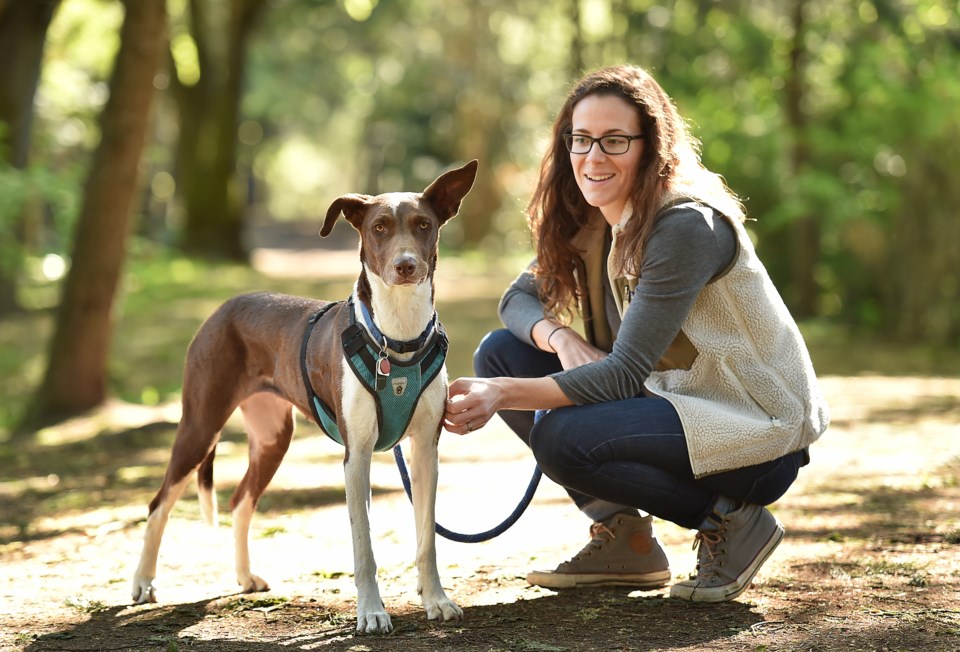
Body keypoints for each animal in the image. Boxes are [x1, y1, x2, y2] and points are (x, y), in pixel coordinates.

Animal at [133, 158, 478, 632]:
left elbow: (428, 539)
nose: (406, 265)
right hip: (200, 426)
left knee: (240, 501)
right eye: (380, 227)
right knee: (159, 503)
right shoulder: (357, 456)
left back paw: (244, 576)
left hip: (273, 438)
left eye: (424, 225)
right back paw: (143, 583)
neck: (397, 336)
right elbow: (364, 548)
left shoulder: (426, 450)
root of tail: (223, 308)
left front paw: (436, 600)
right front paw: (372, 612)